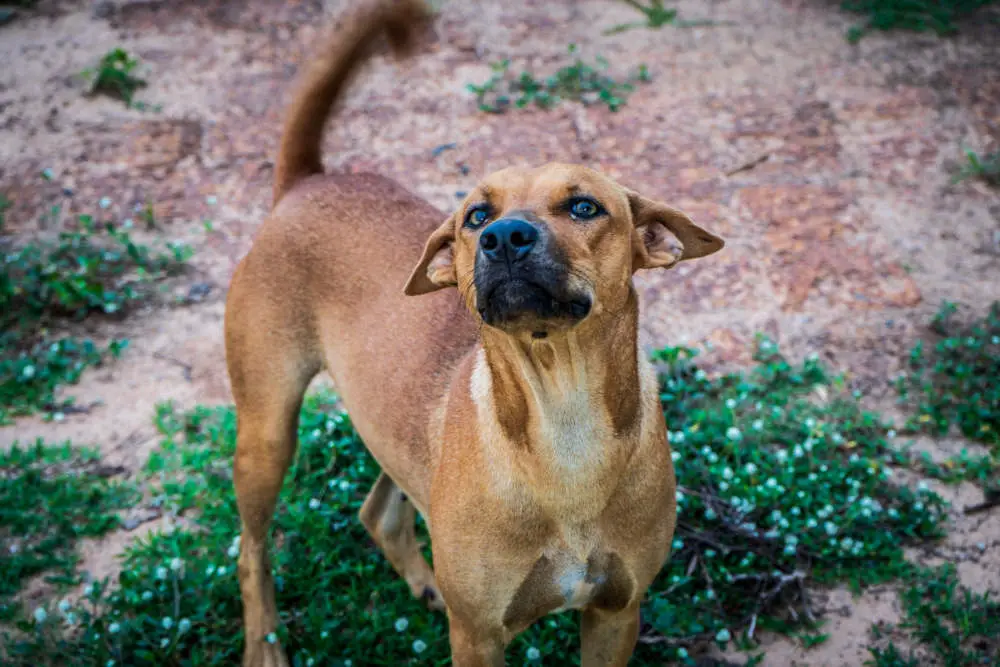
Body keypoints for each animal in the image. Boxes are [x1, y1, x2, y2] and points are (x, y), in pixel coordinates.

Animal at [225, 2, 728, 664]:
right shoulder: (478, 637)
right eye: (476, 215)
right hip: (266, 432)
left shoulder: (617, 614)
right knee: (251, 553)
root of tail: (309, 182)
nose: (504, 237)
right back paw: (264, 642)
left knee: (378, 511)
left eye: (585, 207)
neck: (565, 423)